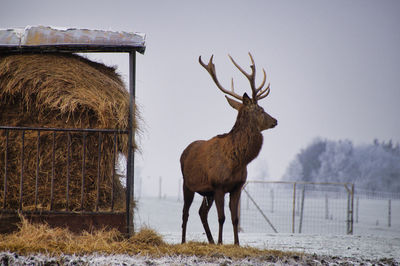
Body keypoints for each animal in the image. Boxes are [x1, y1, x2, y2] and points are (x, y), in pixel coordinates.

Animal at [180, 52, 276, 245]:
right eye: (261, 109)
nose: (275, 121)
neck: (238, 161)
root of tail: (184, 151)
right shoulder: (218, 186)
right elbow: (222, 217)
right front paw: (220, 242)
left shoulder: (237, 186)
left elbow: (235, 218)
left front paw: (236, 244)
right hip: (187, 184)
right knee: (185, 213)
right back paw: (184, 241)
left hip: (206, 192)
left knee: (201, 212)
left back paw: (209, 241)